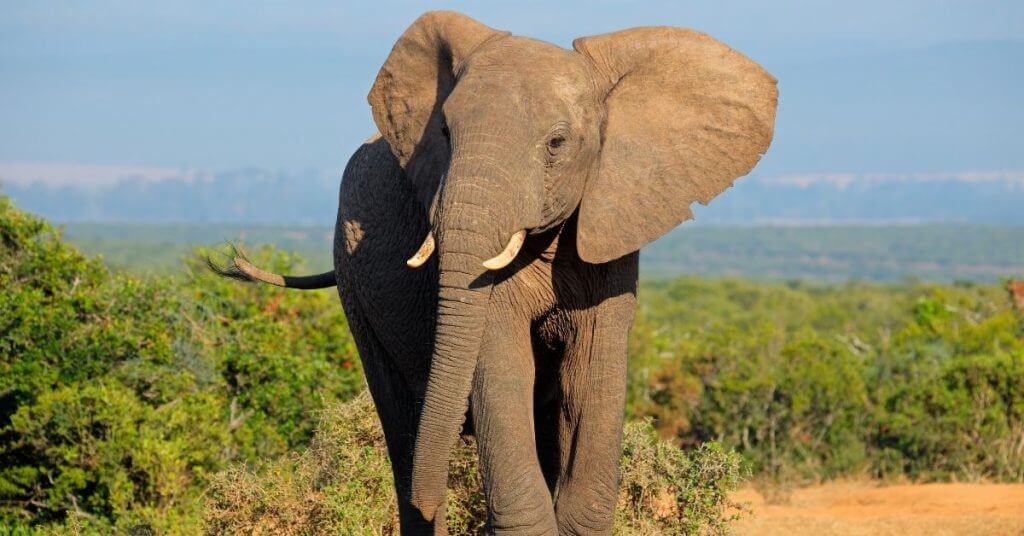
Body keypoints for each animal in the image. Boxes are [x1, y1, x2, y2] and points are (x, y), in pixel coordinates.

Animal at [215, 11, 776, 535]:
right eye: (444, 132)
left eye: (557, 143)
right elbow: (502, 368)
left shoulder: (612, 225)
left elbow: (590, 374)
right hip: (354, 284)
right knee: (400, 421)